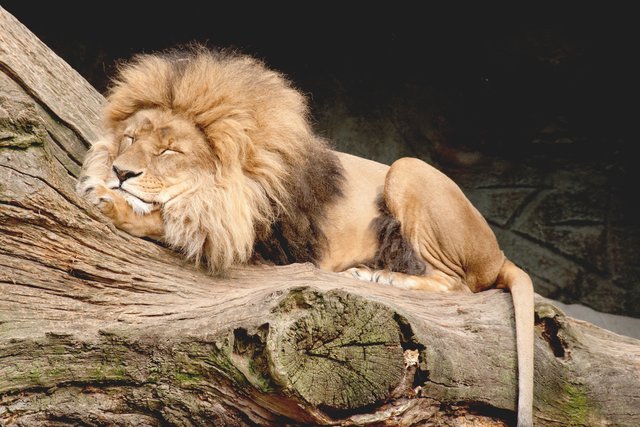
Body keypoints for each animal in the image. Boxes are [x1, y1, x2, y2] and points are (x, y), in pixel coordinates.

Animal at [76, 46, 534, 426]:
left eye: (169, 151)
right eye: (130, 138)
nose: (121, 171)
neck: (237, 182)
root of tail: (499, 253)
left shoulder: (260, 245)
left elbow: (171, 219)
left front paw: (108, 198)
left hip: (408, 168)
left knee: (459, 286)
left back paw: (380, 275)